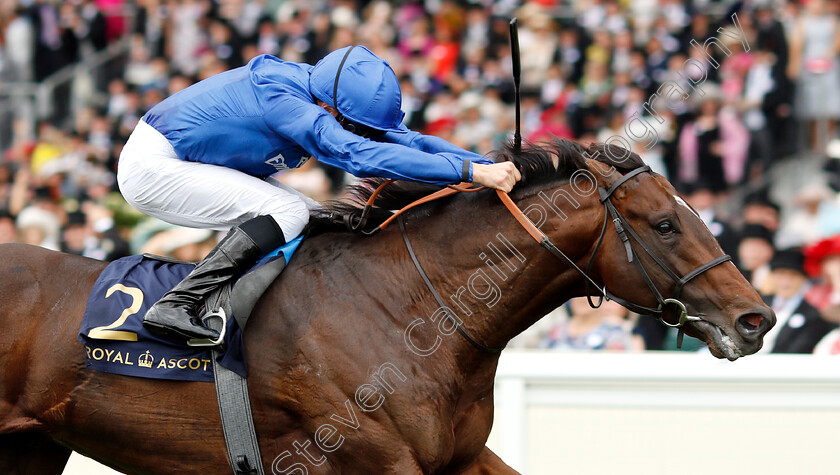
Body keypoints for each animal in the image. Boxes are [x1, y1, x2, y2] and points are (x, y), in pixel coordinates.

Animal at [0, 139, 776, 474]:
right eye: (665, 224)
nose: (756, 319)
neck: (410, 313)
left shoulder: (459, 459)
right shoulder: (371, 461)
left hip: (31, 448)